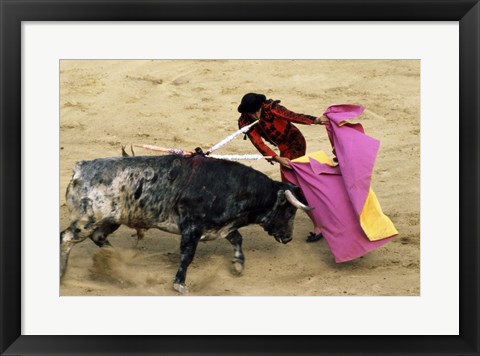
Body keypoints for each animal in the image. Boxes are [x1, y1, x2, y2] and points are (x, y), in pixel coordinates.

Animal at [60, 152, 310, 294]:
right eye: (289, 209)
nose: (288, 237)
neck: (233, 187)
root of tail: (81, 168)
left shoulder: (220, 226)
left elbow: (237, 238)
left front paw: (238, 265)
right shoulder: (192, 227)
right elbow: (187, 255)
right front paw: (180, 284)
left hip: (111, 219)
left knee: (98, 237)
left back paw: (117, 262)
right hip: (87, 220)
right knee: (66, 238)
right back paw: (63, 274)